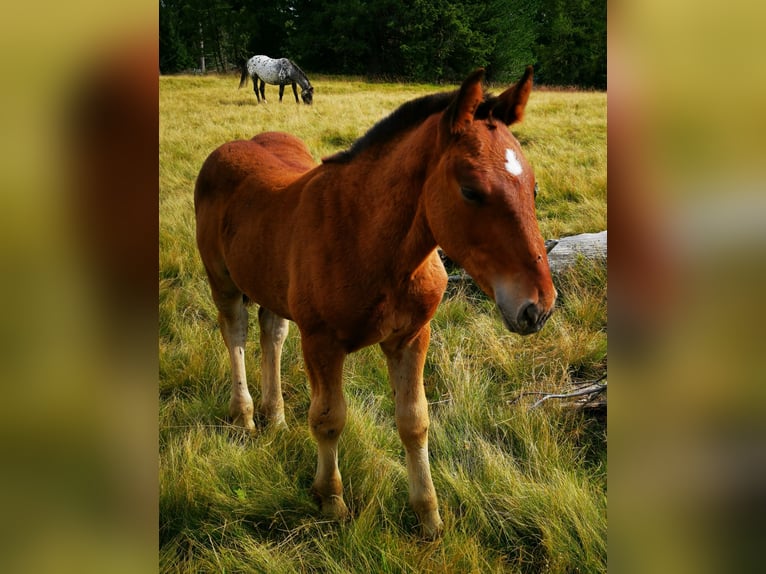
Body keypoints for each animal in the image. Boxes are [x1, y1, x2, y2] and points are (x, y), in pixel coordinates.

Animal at [196, 67, 560, 540]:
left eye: (532, 187)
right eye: (470, 190)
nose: (538, 307)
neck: (373, 241)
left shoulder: (411, 337)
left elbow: (414, 421)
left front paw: (429, 517)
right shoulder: (322, 343)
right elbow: (328, 419)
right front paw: (331, 501)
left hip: (267, 281)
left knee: (271, 333)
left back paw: (275, 417)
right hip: (222, 281)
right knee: (235, 335)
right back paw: (245, 417)